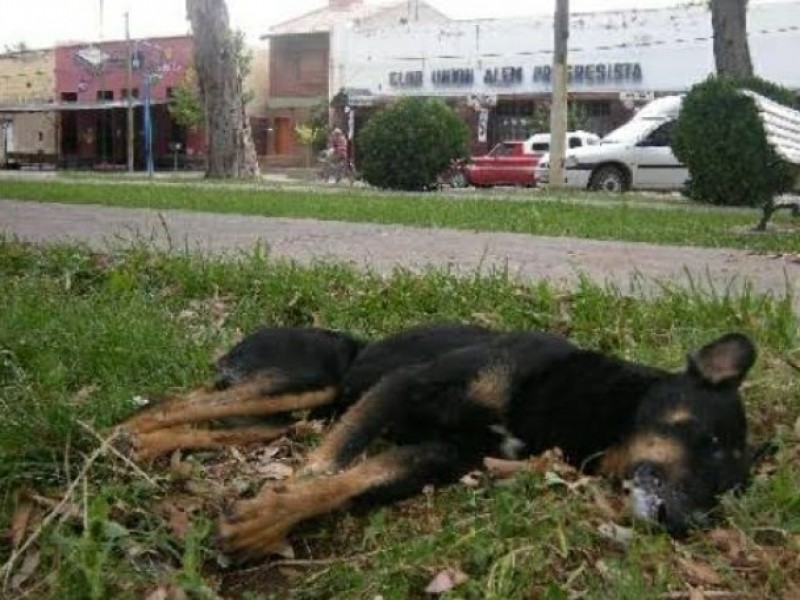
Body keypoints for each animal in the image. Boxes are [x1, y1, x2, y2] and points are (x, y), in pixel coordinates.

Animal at [117, 324, 756, 556]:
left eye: (728, 491)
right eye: (707, 439)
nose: (685, 524)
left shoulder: (442, 456)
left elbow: (349, 480)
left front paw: (268, 519)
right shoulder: (406, 386)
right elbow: (325, 468)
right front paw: (267, 513)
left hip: (298, 415)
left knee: (204, 421)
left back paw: (148, 450)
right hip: (309, 381)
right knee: (175, 402)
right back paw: (126, 439)